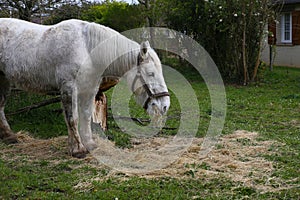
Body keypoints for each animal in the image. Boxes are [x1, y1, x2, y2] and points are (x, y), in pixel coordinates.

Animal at [0, 18, 169, 158]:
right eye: (151, 73)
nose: (165, 106)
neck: (86, 48)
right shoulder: (69, 88)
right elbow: (72, 118)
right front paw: (78, 149)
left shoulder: (89, 89)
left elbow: (86, 116)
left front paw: (89, 144)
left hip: (5, 81)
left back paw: (9, 137)